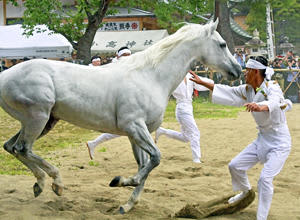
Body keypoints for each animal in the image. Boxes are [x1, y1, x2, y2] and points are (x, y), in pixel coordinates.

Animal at [0, 19, 240, 213]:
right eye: (222, 44)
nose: (237, 70)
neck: (150, 76)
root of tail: (5, 75)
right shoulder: (134, 126)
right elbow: (155, 159)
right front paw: (120, 181)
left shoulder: (136, 133)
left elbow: (146, 166)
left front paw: (127, 204)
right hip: (37, 117)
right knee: (23, 148)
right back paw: (55, 183)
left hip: (43, 121)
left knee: (12, 147)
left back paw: (41, 184)